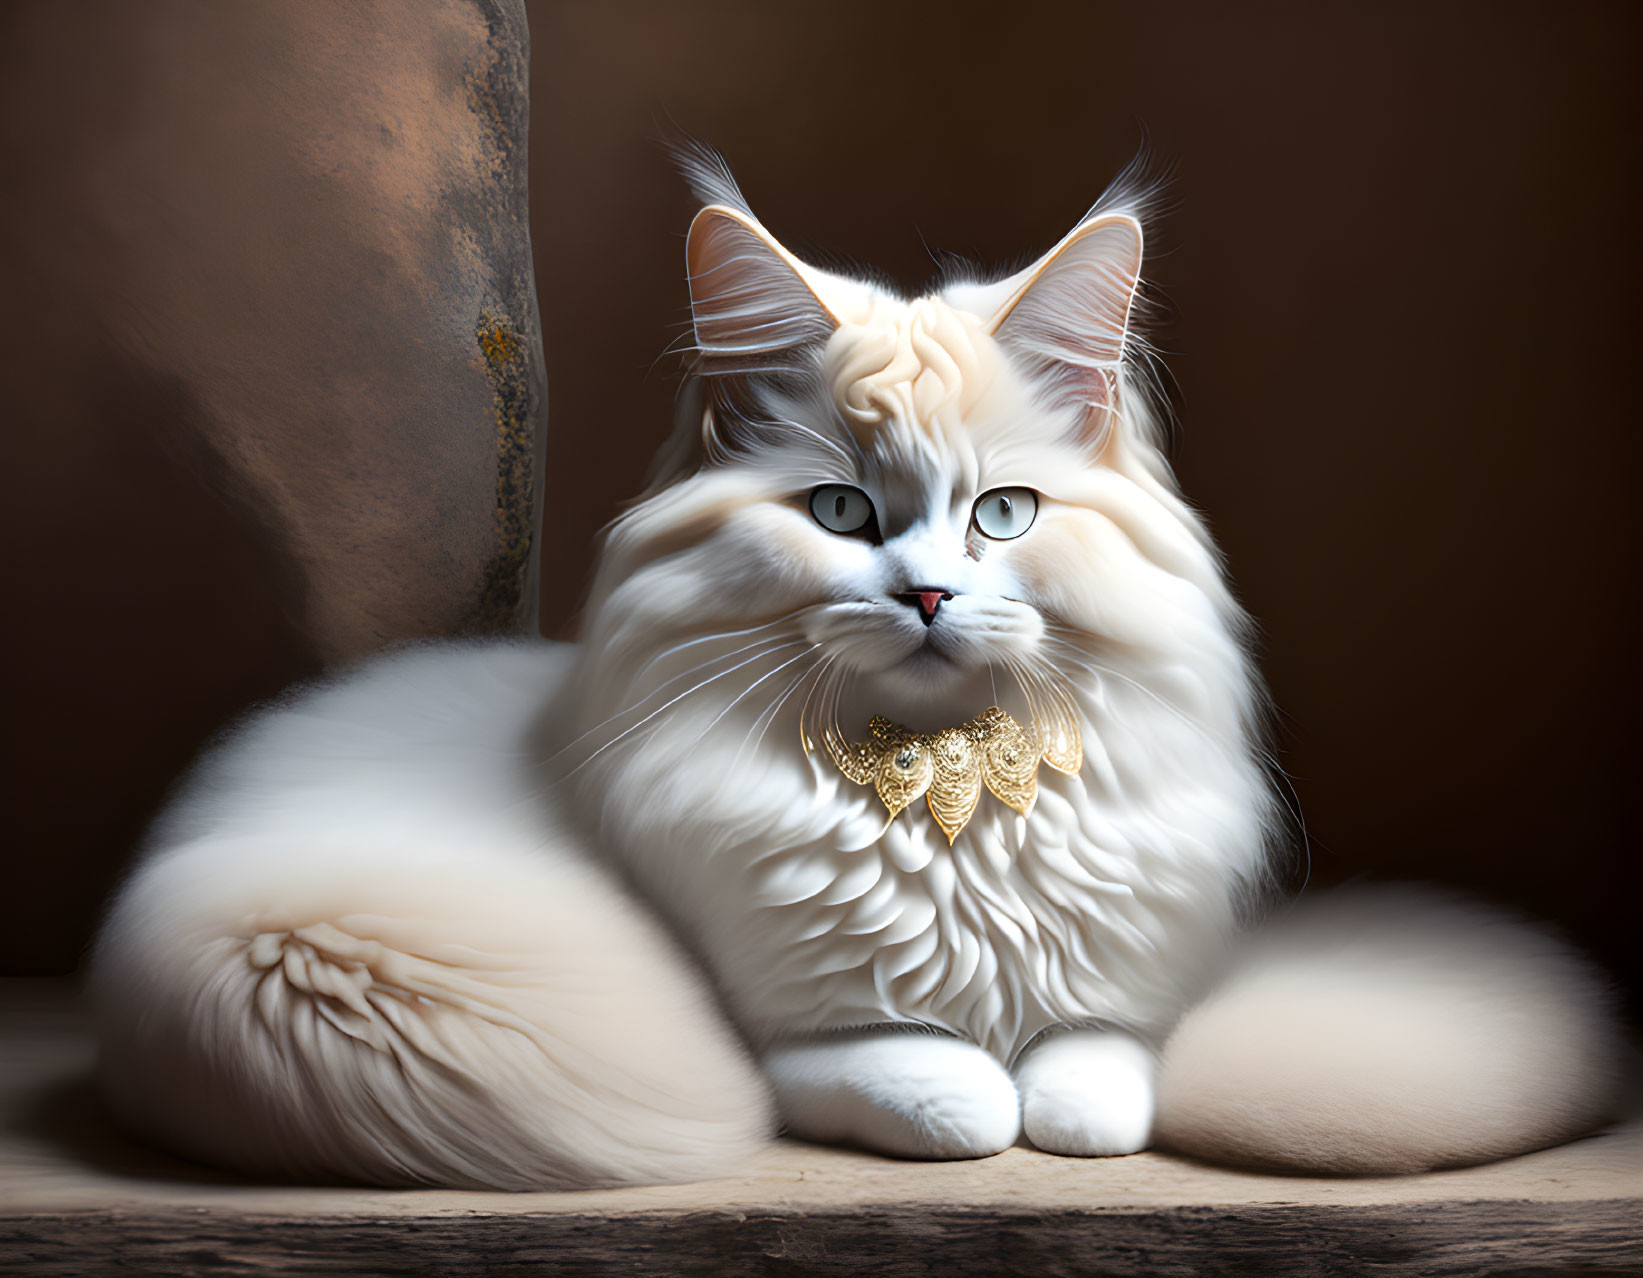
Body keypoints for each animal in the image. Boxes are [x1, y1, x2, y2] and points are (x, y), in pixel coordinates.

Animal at [96, 156, 1623, 1182]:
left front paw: (1071, 1106)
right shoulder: (800, 1038)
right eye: (840, 513)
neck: (948, 805)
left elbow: (1095, 1075)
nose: (930, 592)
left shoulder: (1121, 1000)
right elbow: (947, 1090)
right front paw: (980, 1101)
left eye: (1000, 514)